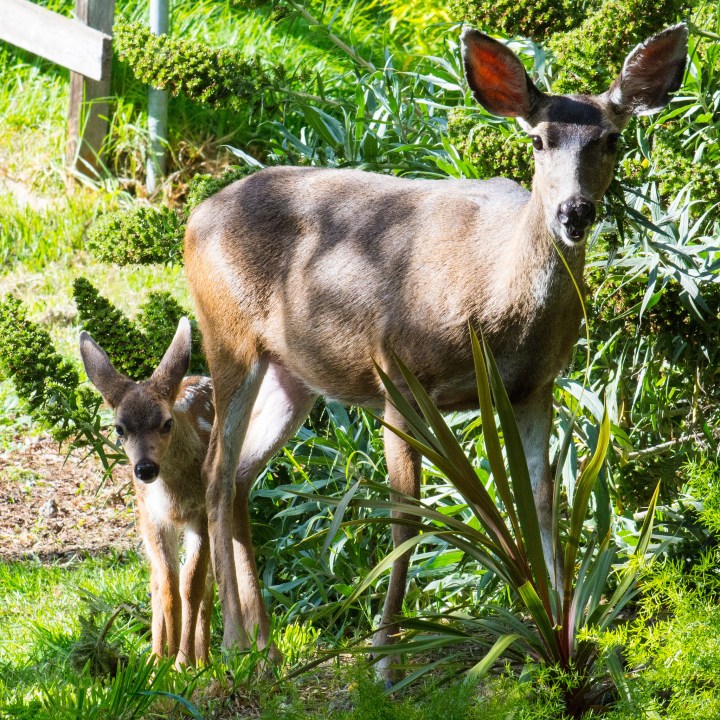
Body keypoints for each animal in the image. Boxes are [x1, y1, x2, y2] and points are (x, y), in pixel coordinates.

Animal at [79, 318, 215, 668]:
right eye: (119, 428)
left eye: (166, 423)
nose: (145, 469)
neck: (174, 497)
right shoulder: (152, 518)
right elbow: (168, 586)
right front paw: (166, 661)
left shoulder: (201, 513)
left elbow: (191, 585)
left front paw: (185, 662)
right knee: (156, 579)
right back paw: (156, 656)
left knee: (210, 583)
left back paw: (205, 659)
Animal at [182, 24, 688, 674]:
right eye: (538, 139)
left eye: (612, 138)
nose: (574, 211)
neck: (496, 305)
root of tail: (195, 215)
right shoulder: (397, 376)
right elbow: (406, 521)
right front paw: (383, 658)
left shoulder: (535, 388)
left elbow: (543, 501)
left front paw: (563, 637)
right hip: (228, 337)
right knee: (216, 472)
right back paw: (230, 644)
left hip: (294, 372)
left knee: (243, 474)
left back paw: (265, 648)